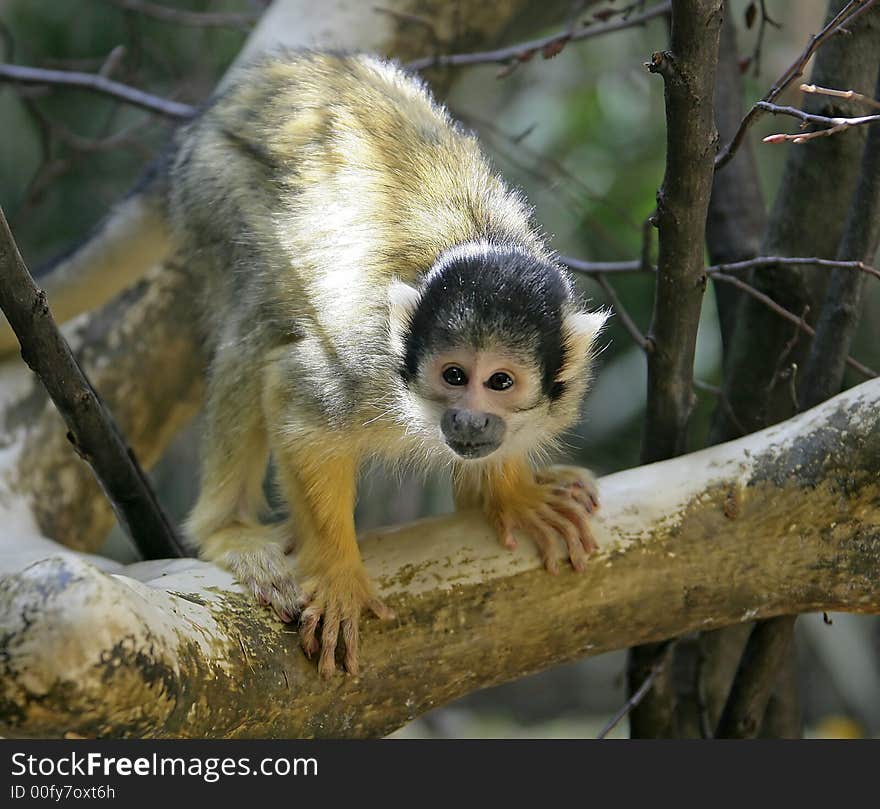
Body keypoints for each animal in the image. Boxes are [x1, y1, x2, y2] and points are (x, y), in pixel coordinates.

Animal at [0, 52, 604, 676]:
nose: (469, 420)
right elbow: (298, 403)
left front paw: (511, 495)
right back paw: (225, 529)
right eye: (454, 376)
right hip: (216, 182)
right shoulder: (365, 362)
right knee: (256, 324)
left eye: (500, 382)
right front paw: (337, 573)